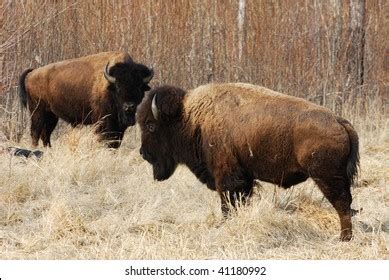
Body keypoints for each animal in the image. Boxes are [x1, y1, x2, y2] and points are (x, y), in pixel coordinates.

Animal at [19, 50, 153, 148]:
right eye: (118, 88)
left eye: (139, 88)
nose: (129, 107)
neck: (109, 86)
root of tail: (32, 73)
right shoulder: (103, 122)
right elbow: (105, 139)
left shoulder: (119, 126)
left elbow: (115, 142)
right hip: (37, 111)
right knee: (35, 132)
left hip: (51, 115)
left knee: (45, 134)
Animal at [136, 82, 358, 241]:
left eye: (151, 126)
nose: (143, 153)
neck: (191, 118)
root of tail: (339, 121)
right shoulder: (245, 178)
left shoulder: (226, 178)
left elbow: (227, 205)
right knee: (346, 203)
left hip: (327, 176)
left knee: (342, 203)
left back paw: (344, 238)